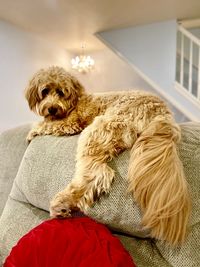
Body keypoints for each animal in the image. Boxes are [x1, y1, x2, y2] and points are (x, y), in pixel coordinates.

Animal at [25, 66, 191, 246]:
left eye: (61, 92)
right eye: (45, 91)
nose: (52, 108)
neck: (74, 103)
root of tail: (161, 111)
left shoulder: (70, 123)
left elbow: (46, 124)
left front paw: (31, 132)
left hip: (99, 129)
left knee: (97, 173)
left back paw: (63, 203)